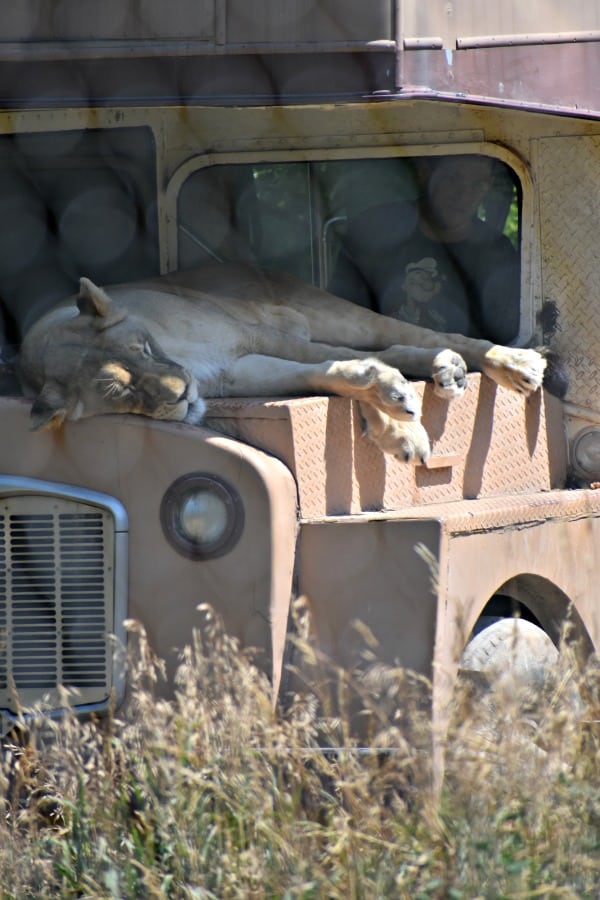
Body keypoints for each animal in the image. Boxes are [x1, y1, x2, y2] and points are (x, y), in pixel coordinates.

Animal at [17, 262, 547, 463]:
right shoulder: (235, 371)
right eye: (119, 391)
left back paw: (506, 363)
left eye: (142, 348)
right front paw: (393, 411)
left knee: (410, 336)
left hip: (325, 314)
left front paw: (401, 402)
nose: (182, 395)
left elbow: (350, 360)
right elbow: (331, 374)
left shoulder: (254, 335)